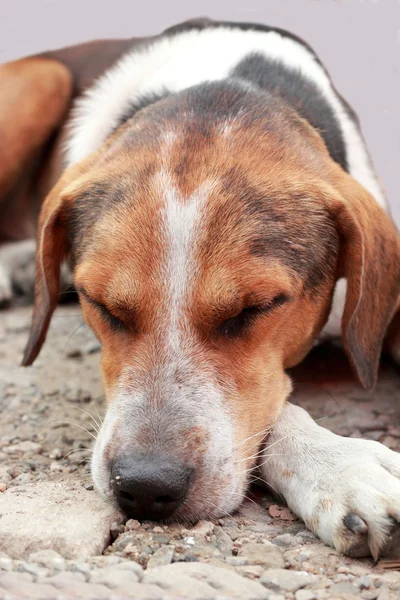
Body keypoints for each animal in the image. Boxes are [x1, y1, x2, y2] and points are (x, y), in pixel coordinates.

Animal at [0, 18, 400, 560]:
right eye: (102, 305)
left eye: (257, 307)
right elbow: (275, 406)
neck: (229, 82)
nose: (145, 488)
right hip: (42, 79)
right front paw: (342, 466)